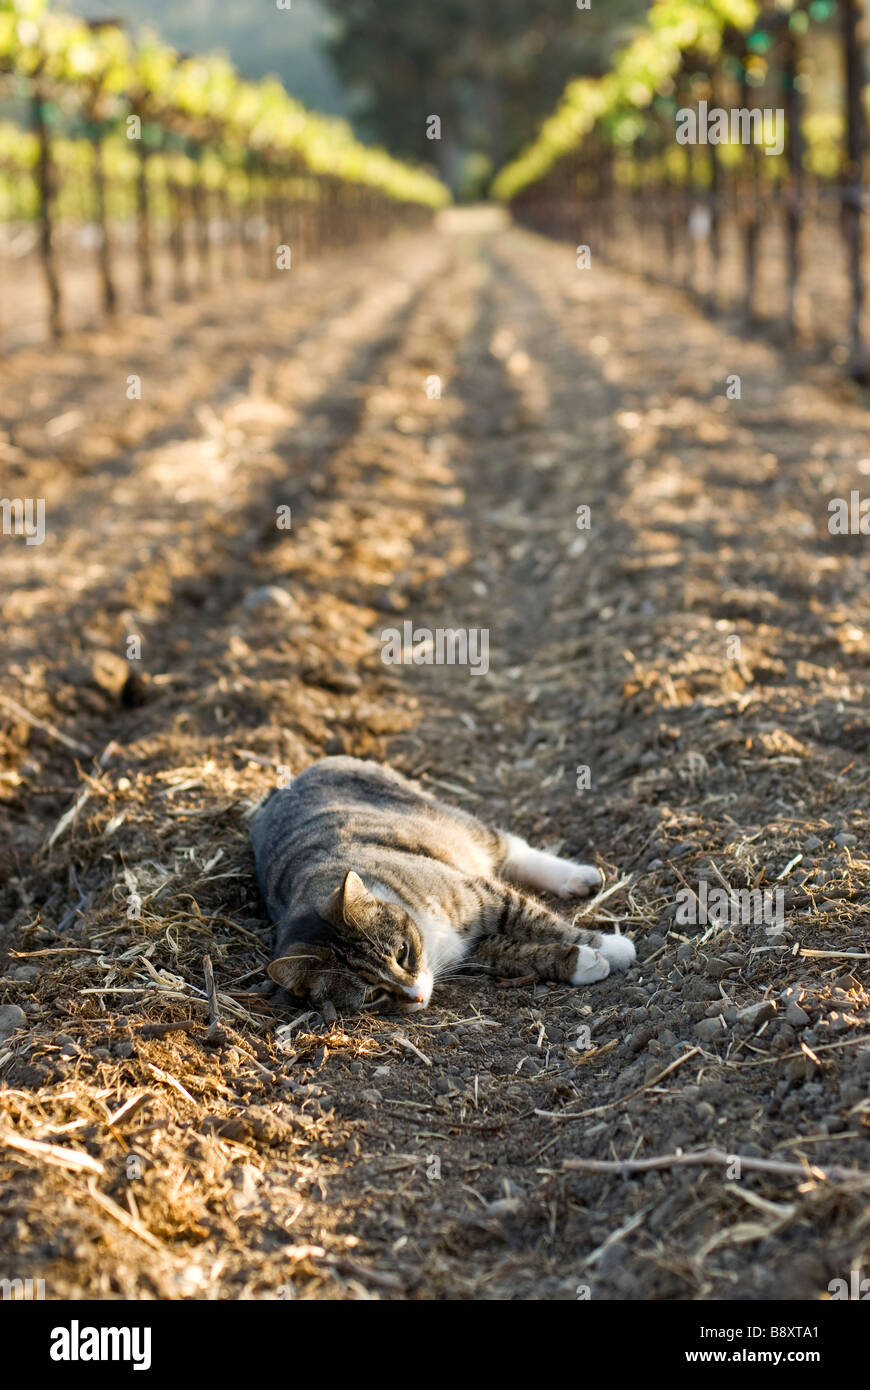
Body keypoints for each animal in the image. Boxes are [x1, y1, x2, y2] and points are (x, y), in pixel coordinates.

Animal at [247, 756, 633, 1017]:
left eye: (402, 953)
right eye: (373, 995)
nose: (416, 995)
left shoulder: (479, 894)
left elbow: (539, 920)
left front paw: (614, 947)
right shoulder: (476, 949)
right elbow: (521, 955)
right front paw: (584, 962)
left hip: (454, 822)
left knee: (511, 848)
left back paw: (577, 877)